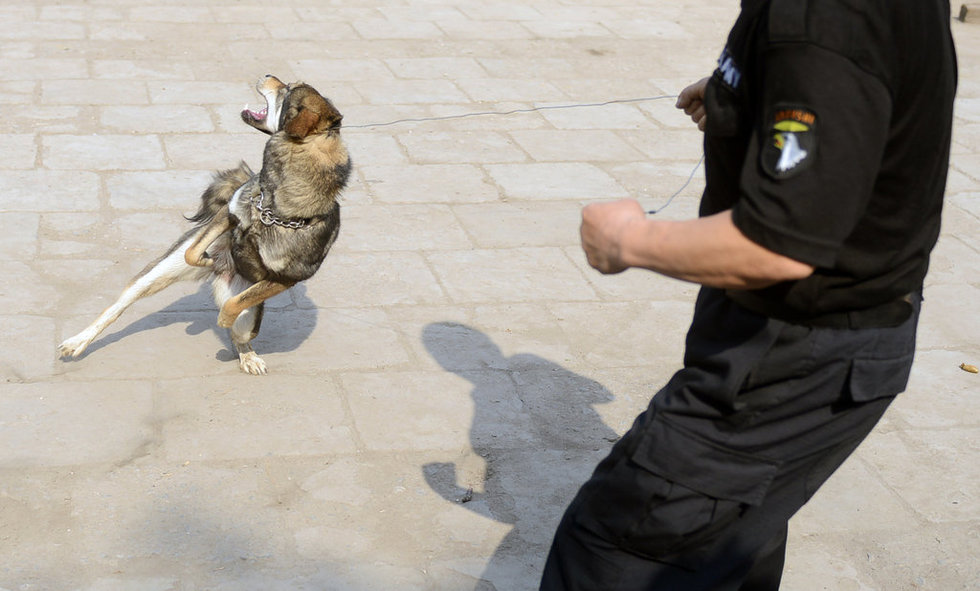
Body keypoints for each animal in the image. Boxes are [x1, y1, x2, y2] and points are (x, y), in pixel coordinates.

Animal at [59, 75, 350, 374]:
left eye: (287, 89)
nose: (268, 75)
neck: (273, 205)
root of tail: (224, 275)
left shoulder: (287, 278)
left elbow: (234, 304)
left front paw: (224, 316)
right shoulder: (229, 214)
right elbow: (193, 252)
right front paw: (206, 258)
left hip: (250, 316)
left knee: (239, 332)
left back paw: (247, 353)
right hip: (154, 275)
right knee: (116, 308)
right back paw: (78, 341)